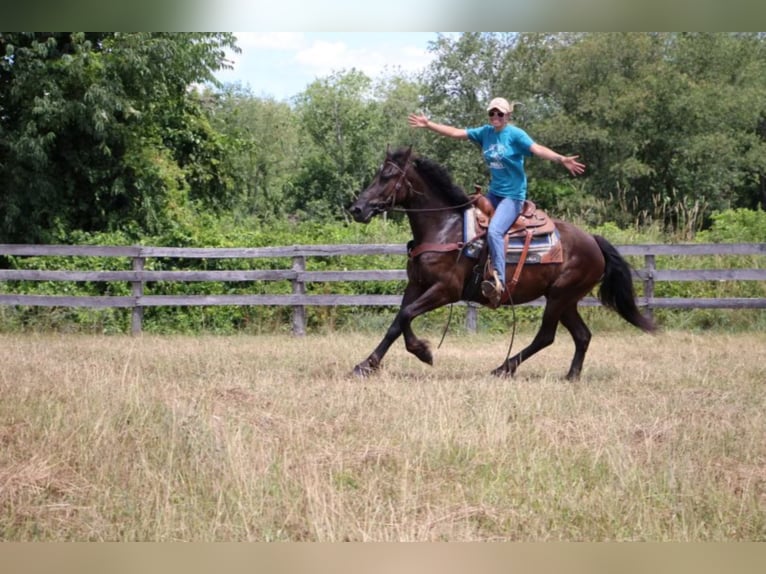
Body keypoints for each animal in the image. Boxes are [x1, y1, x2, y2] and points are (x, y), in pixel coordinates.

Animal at [348, 148, 656, 380]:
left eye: (387, 176)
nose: (357, 209)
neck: (444, 228)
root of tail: (592, 241)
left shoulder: (445, 290)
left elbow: (406, 315)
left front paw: (422, 351)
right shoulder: (416, 284)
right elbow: (398, 321)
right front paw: (368, 364)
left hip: (560, 296)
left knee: (546, 336)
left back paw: (502, 368)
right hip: (566, 300)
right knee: (582, 336)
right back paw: (571, 375)